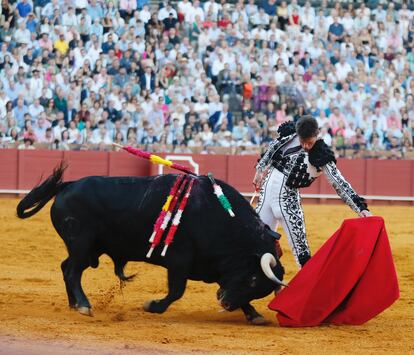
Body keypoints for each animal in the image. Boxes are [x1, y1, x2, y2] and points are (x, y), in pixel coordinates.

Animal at [17, 165, 284, 326]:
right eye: (252, 280)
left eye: (259, 287)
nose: (225, 303)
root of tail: (67, 186)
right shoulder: (179, 260)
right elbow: (176, 291)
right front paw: (153, 306)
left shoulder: (217, 268)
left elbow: (233, 291)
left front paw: (255, 315)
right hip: (81, 244)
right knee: (72, 271)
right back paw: (83, 305)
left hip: (85, 248)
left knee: (66, 268)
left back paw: (74, 304)